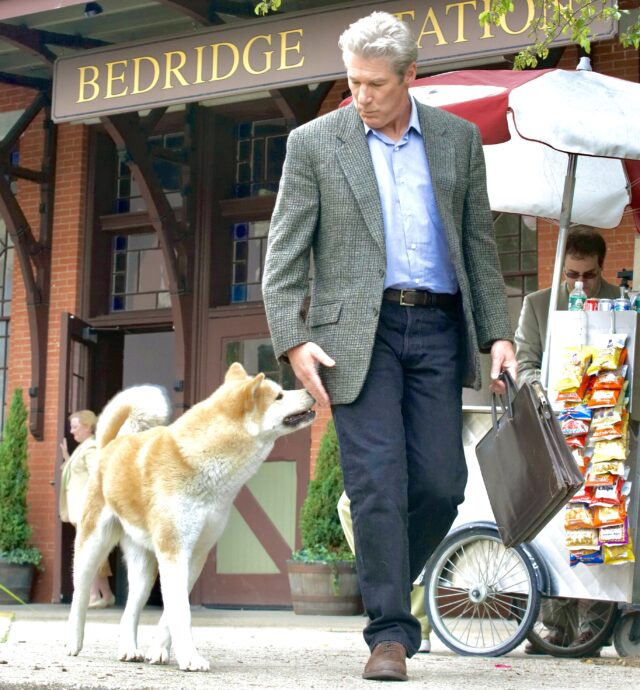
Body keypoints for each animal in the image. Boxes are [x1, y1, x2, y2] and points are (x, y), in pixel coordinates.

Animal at [65, 362, 316, 668]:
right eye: (279, 395)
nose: (310, 390)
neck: (204, 461)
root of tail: (112, 444)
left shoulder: (195, 555)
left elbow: (171, 614)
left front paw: (161, 651)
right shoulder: (174, 551)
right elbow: (181, 613)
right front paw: (190, 658)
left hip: (144, 570)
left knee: (129, 612)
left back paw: (129, 649)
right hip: (92, 546)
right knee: (79, 595)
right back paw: (73, 642)